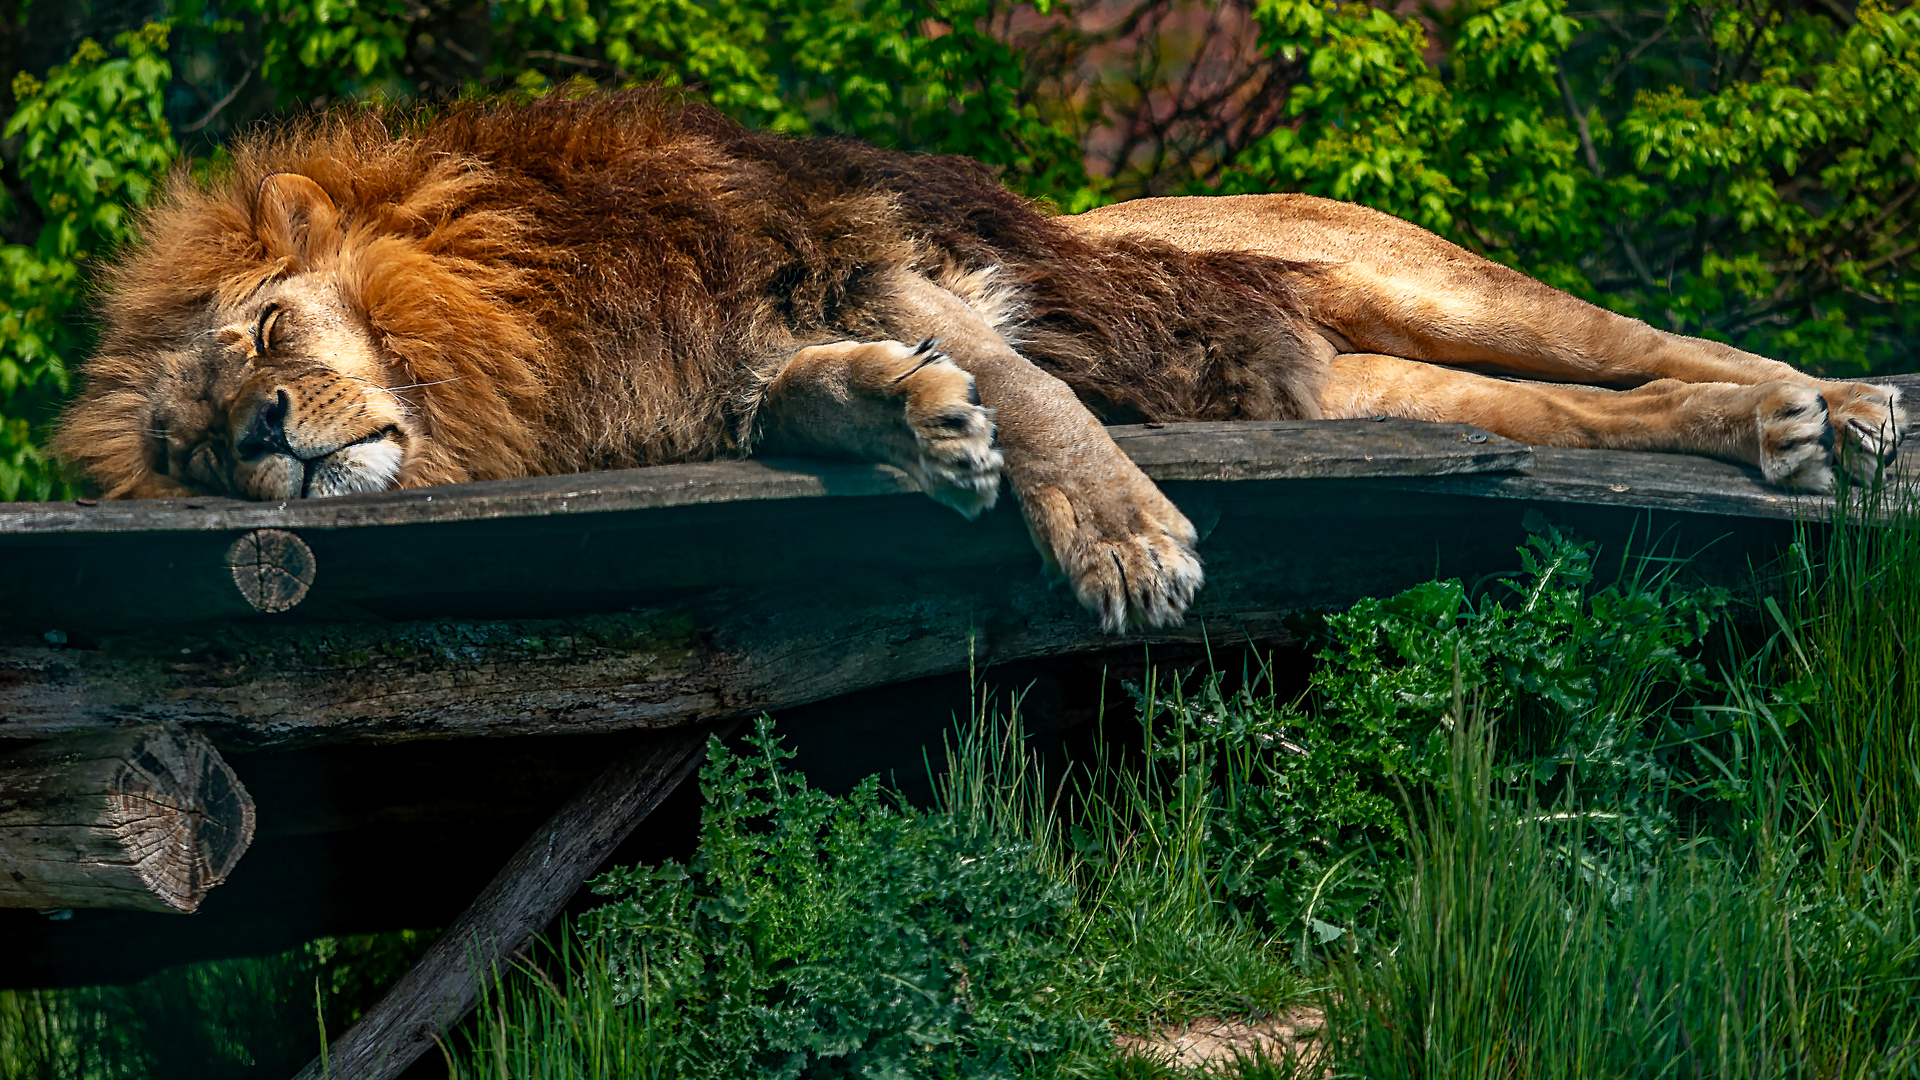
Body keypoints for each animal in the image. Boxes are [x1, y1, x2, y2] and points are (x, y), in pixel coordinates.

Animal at [56, 94, 1904, 630]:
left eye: (264, 334)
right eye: (199, 449)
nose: (270, 439)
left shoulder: (874, 258)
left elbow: (1038, 393)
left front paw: (1124, 546)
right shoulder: (749, 354)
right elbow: (831, 396)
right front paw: (915, 428)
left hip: (1429, 289)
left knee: (1649, 338)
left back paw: (1852, 413)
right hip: (1372, 384)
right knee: (1609, 407)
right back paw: (1773, 440)